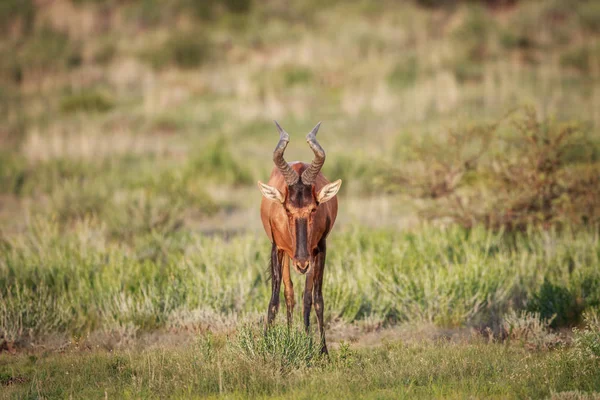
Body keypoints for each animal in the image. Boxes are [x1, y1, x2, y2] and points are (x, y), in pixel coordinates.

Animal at [258, 119, 342, 354]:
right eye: (287, 209)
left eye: (314, 208)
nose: (302, 264)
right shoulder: (276, 248)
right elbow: (274, 300)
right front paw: (265, 344)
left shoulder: (320, 248)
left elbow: (317, 299)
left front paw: (323, 351)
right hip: (287, 256)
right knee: (289, 294)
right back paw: (288, 335)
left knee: (305, 297)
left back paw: (305, 339)